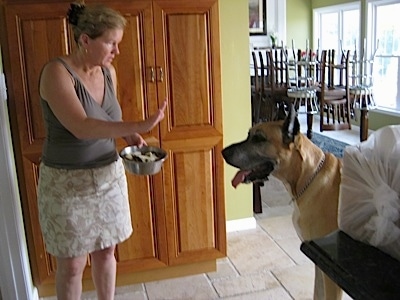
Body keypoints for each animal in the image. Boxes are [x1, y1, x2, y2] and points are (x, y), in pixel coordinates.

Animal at [223, 106, 342, 298]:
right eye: (249, 135)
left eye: (259, 139)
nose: (222, 152)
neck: (306, 176)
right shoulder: (319, 263)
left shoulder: (331, 275)